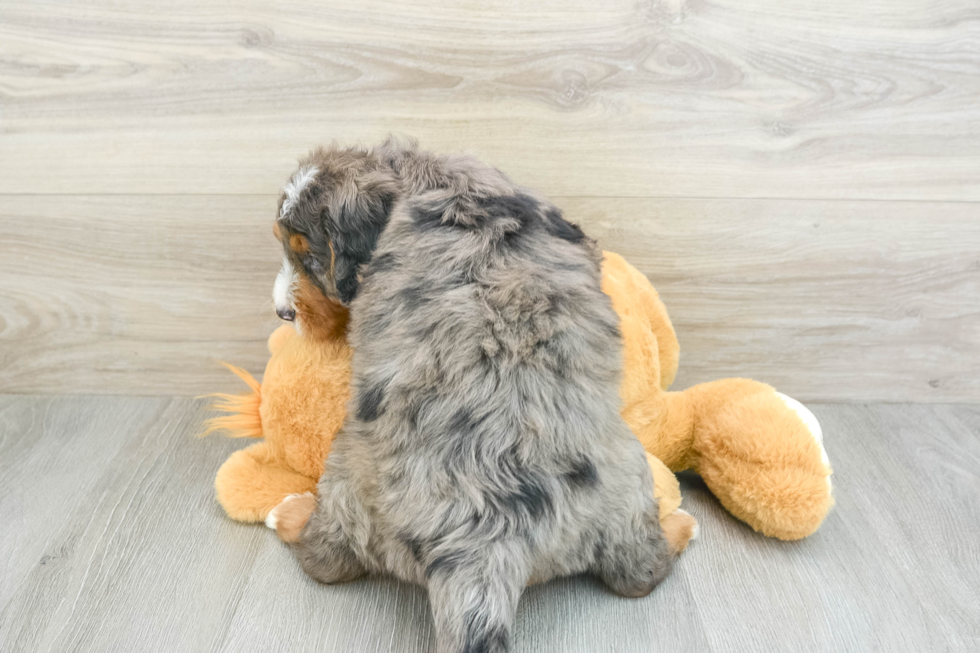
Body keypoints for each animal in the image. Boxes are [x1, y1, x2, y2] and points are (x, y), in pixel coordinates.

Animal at [264, 140, 684, 648]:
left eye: (310, 258)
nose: (282, 312)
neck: (429, 179)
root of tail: (483, 539)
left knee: (326, 560)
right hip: (627, 472)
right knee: (639, 572)